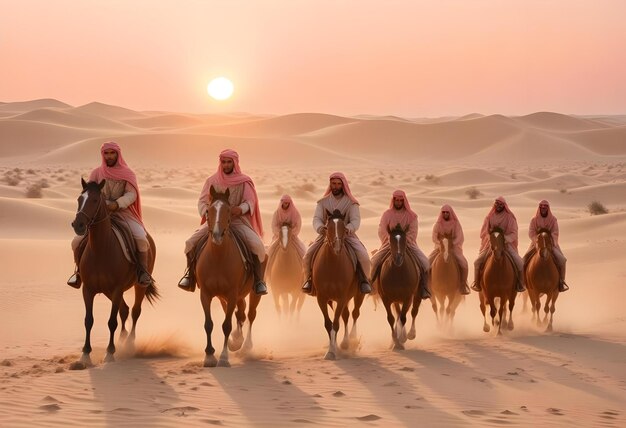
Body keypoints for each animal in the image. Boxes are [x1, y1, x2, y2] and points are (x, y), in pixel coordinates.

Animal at [70, 177, 158, 364]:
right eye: (79, 199)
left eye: (95, 200)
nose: (78, 225)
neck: (101, 250)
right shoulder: (88, 289)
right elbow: (88, 320)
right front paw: (85, 354)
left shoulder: (117, 289)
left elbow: (112, 321)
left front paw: (110, 353)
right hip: (108, 291)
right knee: (124, 310)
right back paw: (123, 339)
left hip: (138, 286)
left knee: (134, 311)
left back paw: (130, 343)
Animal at [196, 187, 262, 368]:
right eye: (209, 210)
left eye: (228, 210)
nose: (217, 235)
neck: (218, 258)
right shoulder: (206, 294)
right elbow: (208, 324)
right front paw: (209, 356)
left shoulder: (232, 294)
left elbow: (226, 325)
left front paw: (224, 357)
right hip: (224, 297)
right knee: (239, 313)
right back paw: (236, 340)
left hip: (254, 293)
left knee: (250, 314)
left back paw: (245, 346)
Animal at [310, 209, 364, 360]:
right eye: (327, 228)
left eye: (344, 228)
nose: (337, 247)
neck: (332, 266)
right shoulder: (322, 299)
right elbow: (329, 324)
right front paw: (331, 350)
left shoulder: (341, 298)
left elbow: (336, 323)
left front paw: (334, 350)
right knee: (344, 315)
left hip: (358, 296)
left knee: (354, 314)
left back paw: (350, 341)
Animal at [370, 224, 420, 352]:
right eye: (391, 240)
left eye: (405, 240)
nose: (398, 259)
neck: (398, 273)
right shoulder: (386, 299)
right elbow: (391, 318)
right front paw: (396, 342)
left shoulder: (408, 298)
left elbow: (403, 318)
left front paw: (402, 339)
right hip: (396, 300)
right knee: (398, 314)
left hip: (415, 296)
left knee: (414, 312)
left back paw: (411, 334)